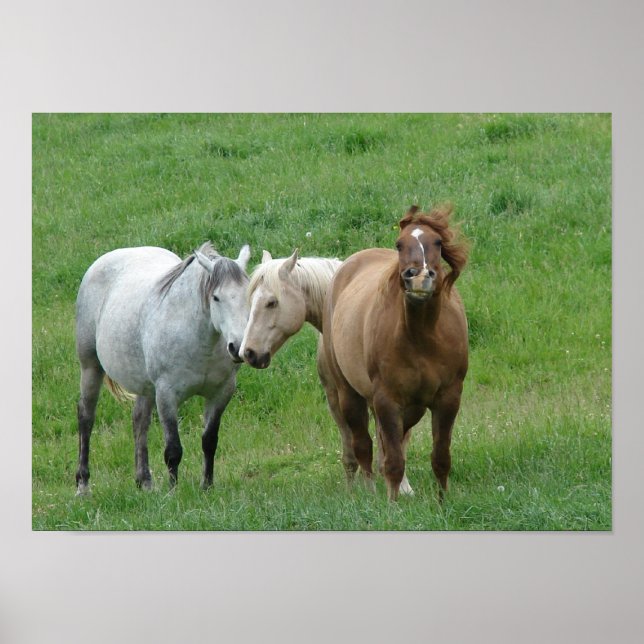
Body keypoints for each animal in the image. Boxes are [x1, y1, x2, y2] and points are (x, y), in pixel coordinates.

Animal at [74, 241, 251, 494]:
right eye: (216, 298)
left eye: (249, 294)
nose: (237, 347)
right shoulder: (167, 394)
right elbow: (173, 450)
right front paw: (173, 492)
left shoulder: (221, 392)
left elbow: (209, 441)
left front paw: (206, 486)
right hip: (90, 367)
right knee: (86, 417)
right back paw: (83, 485)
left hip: (145, 385)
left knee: (139, 421)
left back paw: (144, 481)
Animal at [321, 205, 469, 501]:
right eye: (399, 244)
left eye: (438, 242)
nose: (419, 277)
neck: (423, 337)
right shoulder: (387, 400)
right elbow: (393, 461)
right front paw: (392, 504)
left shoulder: (448, 397)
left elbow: (440, 457)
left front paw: (442, 502)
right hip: (349, 394)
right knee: (364, 447)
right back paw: (370, 494)